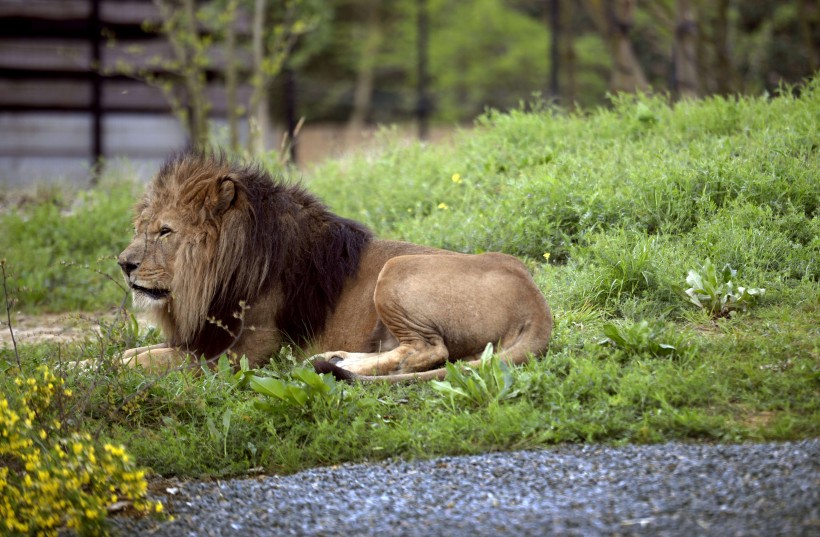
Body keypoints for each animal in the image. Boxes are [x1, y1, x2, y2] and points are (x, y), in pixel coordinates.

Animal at [118, 149, 556, 378]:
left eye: (165, 232)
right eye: (140, 228)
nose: (123, 264)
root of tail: (537, 303)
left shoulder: (243, 353)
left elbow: (155, 360)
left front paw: (113, 367)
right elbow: (139, 351)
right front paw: (110, 358)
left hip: (395, 270)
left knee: (429, 351)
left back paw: (338, 363)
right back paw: (337, 358)